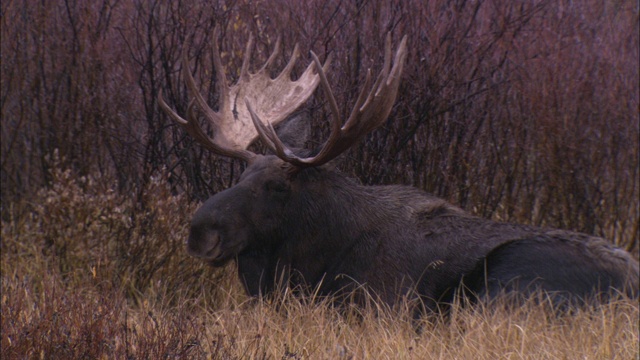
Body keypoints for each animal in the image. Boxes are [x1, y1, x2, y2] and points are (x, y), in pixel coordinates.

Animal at [159, 30, 636, 312]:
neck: (311, 259)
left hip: (507, 282)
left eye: (276, 186)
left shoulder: (378, 304)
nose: (200, 231)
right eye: (239, 178)